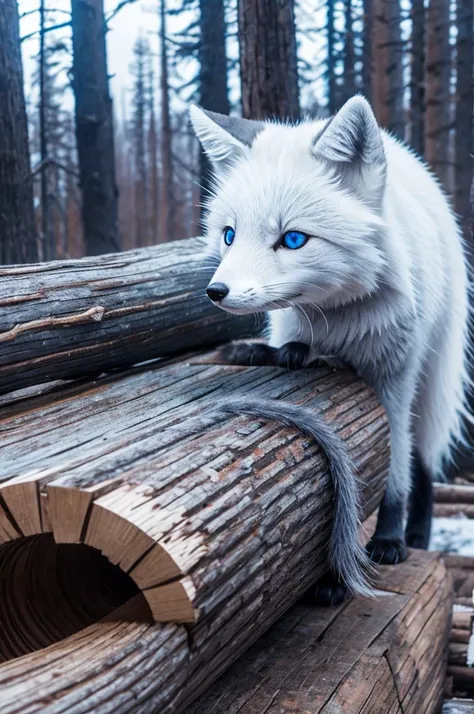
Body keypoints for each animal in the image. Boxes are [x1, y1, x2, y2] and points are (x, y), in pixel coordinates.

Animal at [191, 94, 472, 600]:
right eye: (229, 235)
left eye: (293, 239)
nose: (216, 292)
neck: (342, 323)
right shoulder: (303, 347)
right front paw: (329, 576)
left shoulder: (394, 378)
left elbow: (394, 469)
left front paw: (387, 540)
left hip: (429, 377)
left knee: (421, 458)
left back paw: (418, 535)